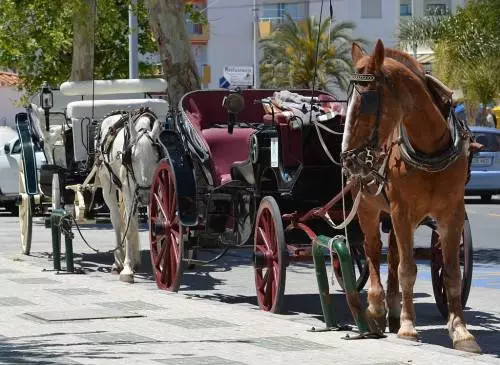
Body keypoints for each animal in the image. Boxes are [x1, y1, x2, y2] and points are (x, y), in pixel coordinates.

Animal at [96, 109, 161, 282]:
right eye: (133, 157)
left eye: (156, 158)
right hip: (109, 186)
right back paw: (118, 261)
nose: (144, 195)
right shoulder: (128, 190)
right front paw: (127, 268)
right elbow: (129, 228)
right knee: (118, 220)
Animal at [340, 39, 480, 352]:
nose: (349, 159)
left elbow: (451, 272)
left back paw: (393, 310)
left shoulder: (452, 213)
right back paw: (377, 308)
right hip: (367, 207)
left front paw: (460, 330)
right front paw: (407, 327)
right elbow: (408, 269)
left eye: (367, 101)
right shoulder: (401, 211)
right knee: (371, 251)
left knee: (392, 254)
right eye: (347, 101)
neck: (431, 148)